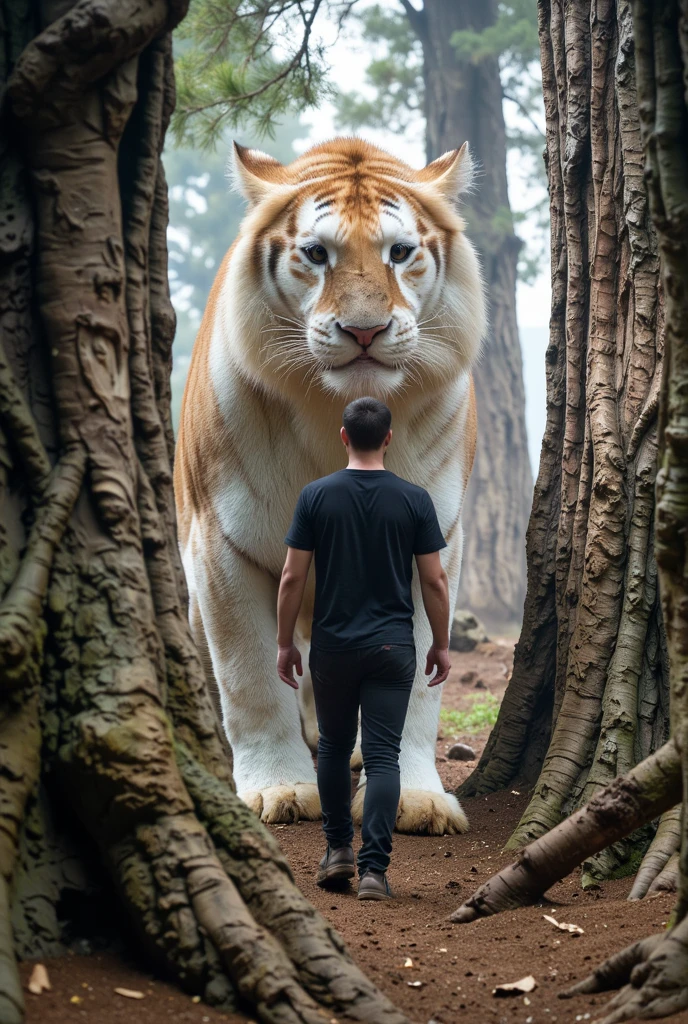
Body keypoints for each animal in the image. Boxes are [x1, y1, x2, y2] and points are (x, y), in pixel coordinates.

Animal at [175, 138, 487, 831]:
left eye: (400, 252)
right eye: (317, 254)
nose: (364, 330)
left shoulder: (433, 545)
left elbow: (417, 688)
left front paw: (416, 798)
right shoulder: (222, 547)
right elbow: (251, 678)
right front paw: (281, 789)